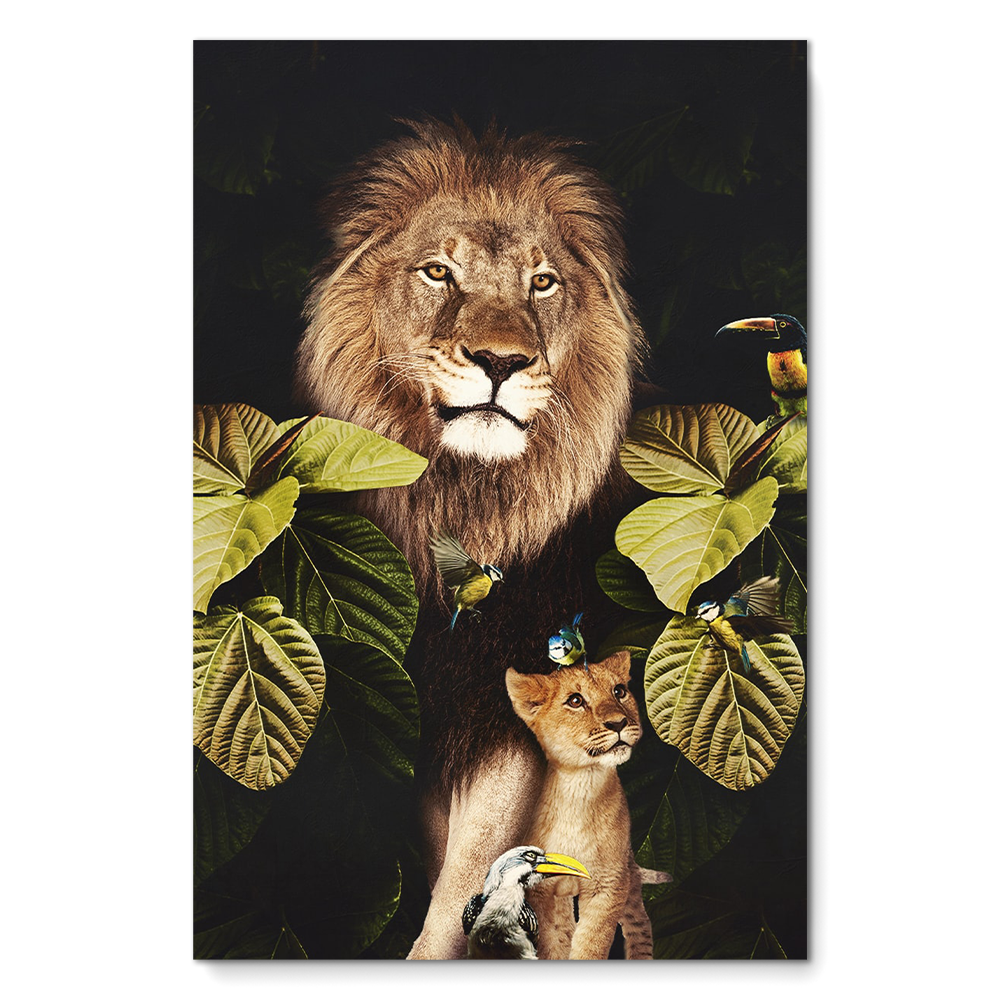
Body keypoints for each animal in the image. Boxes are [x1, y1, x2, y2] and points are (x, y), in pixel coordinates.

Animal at [294, 119, 649, 960]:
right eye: (438, 272)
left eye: (542, 283)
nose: (501, 361)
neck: (465, 495)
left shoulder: (507, 698)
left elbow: (471, 867)